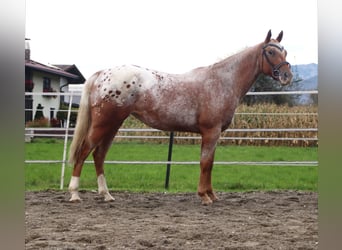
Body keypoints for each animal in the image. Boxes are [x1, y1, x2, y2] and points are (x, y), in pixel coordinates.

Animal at [68, 30, 292, 204]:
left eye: (285, 51)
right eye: (270, 51)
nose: (286, 76)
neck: (222, 81)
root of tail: (102, 74)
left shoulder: (215, 134)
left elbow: (210, 163)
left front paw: (212, 194)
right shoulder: (210, 132)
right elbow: (205, 163)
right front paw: (204, 196)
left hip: (113, 125)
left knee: (99, 155)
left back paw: (106, 195)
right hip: (103, 124)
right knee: (84, 151)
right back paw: (75, 194)